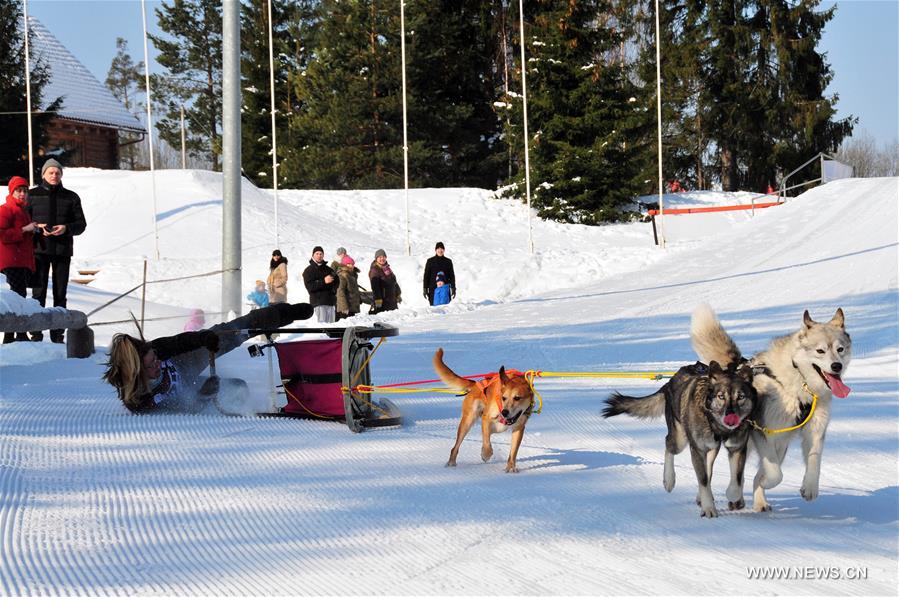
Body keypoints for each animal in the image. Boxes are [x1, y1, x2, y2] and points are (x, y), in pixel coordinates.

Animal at [604, 358, 760, 516]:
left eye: (740, 397)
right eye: (721, 396)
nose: (730, 417)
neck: (717, 426)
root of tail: (673, 378)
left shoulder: (737, 449)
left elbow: (736, 480)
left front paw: (733, 497)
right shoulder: (697, 450)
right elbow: (703, 480)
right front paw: (708, 508)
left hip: (711, 448)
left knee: (708, 468)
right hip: (680, 440)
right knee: (668, 445)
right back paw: (669, 479)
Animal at [692, 304, 856, 510]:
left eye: (840, 349)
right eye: (820, 351)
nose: (837, 366)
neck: (799, 383)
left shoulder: (814, 430)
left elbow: (814, 459)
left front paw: (810, 487)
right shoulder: (762, 432)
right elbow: (775, 474)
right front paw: (765, 481)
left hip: (780, 444)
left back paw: (758, 501)